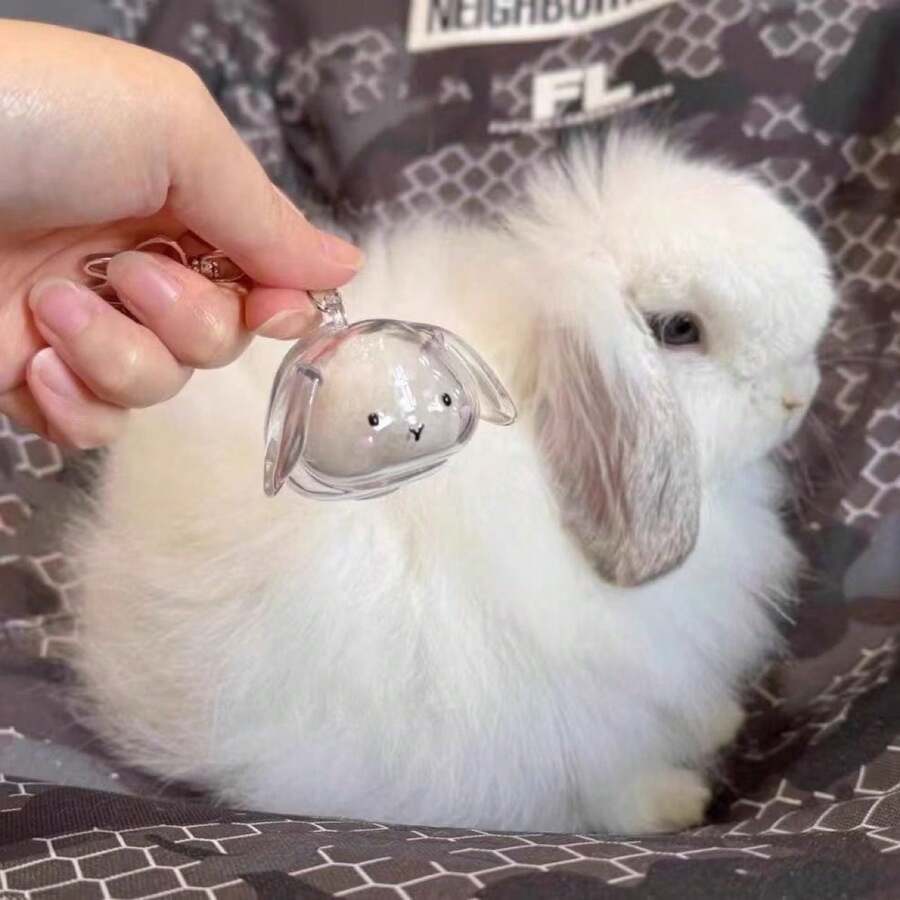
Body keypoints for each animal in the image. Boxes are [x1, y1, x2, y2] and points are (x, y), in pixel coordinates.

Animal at [69, 127, 836, 834]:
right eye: (679, 329)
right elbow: (608, 782)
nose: (799, 396)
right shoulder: (576, 717)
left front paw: (719, 722)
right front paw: (675, 803)